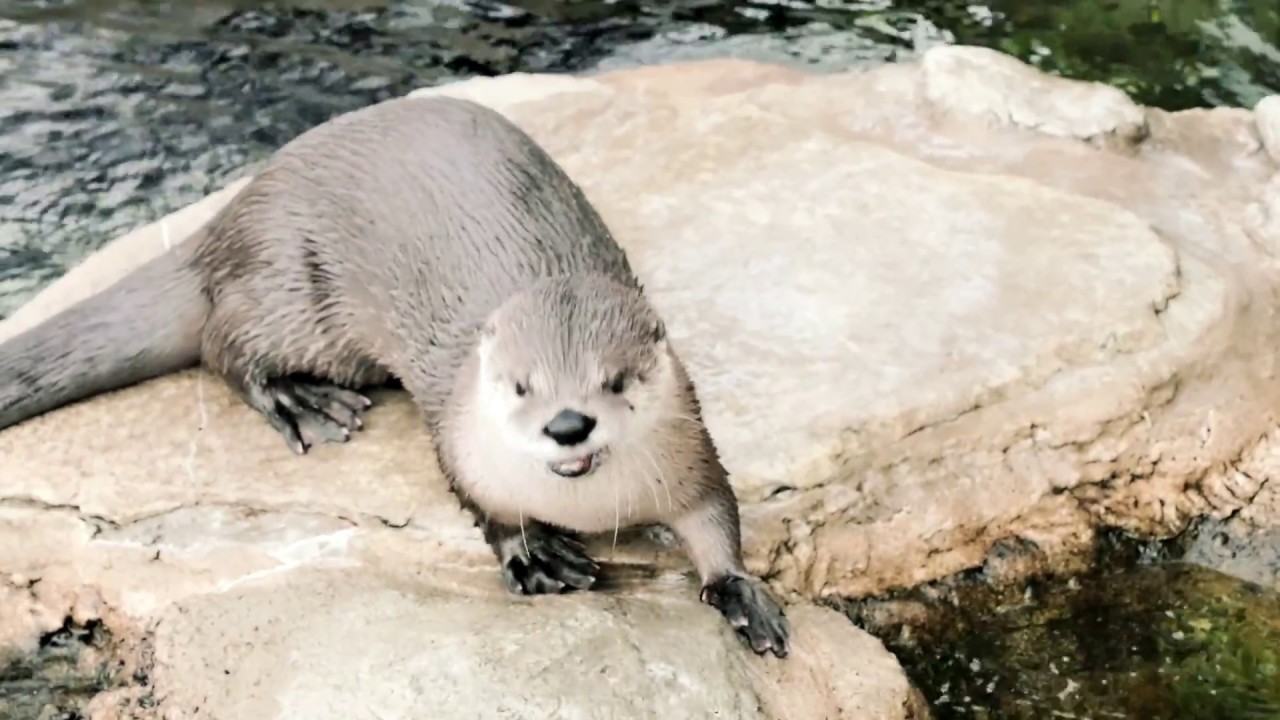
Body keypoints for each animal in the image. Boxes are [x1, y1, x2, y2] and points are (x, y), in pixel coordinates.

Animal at [0, 95, 789, 657]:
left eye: (618, 380)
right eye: (520, 384)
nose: (568, 425)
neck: (591, 507)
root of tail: (237, 207)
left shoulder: (693, 451)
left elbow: (718, 519)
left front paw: (741, 595)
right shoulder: (460, 442)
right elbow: (480, 503)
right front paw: (534, 556)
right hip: (290, 291)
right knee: (225, 345)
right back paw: (302, 400)